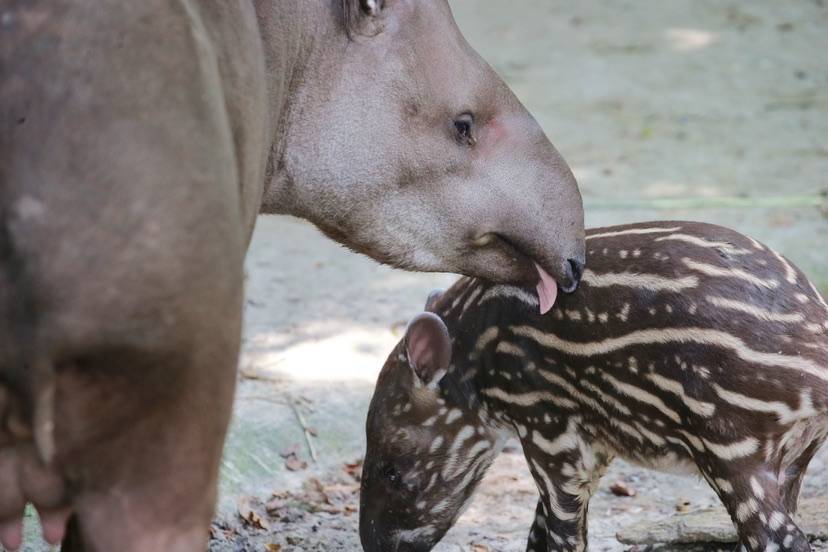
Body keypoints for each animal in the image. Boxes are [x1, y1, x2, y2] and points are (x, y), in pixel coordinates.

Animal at [360, 222, 828, 552]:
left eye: (393, 470)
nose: (372, 544)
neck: (474, 353)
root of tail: (811, 336)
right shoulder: (593, 440)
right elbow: (539, 531)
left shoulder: (544, 426)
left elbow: (562, 533)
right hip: (793, 454)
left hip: (729, 444)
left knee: (780, 539)